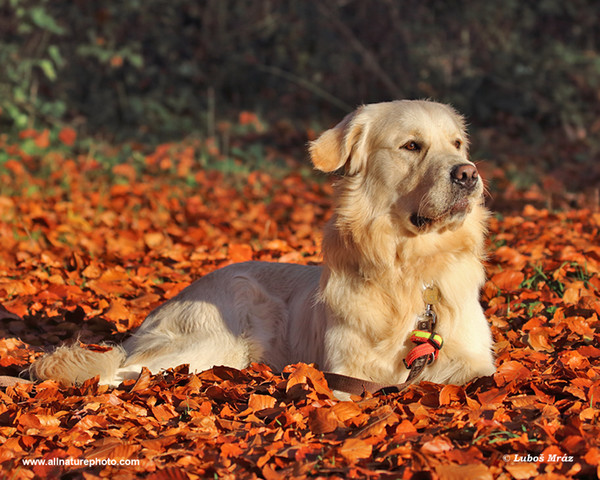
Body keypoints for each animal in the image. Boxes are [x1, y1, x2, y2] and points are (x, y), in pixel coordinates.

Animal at [29, 100, 496, 390]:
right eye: (411, 146)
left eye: (457, 144)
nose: (468, 173)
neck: (410, 268)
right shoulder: (349, 372)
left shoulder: (475, 362)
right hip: (220, 333)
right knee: (124, 373)